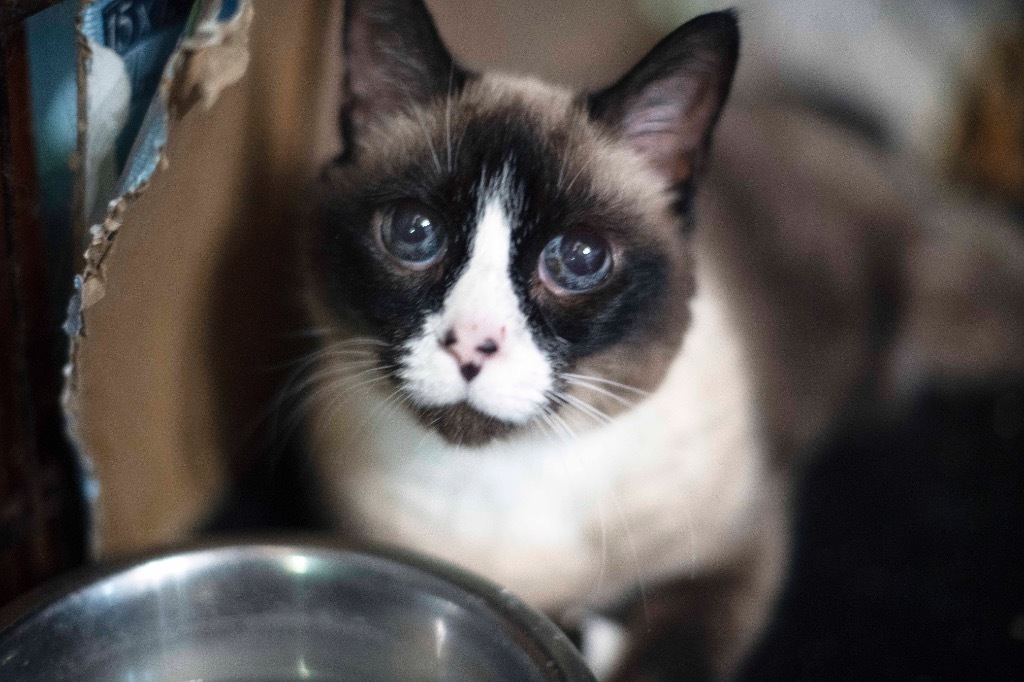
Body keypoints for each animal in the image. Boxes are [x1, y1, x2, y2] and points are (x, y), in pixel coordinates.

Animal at [296, 2, 1024, 675]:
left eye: (580, 257)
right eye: (414, 234)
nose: (473, 344)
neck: (497, 487)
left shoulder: (737, 555)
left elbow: (669, 659)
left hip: (953, 310)